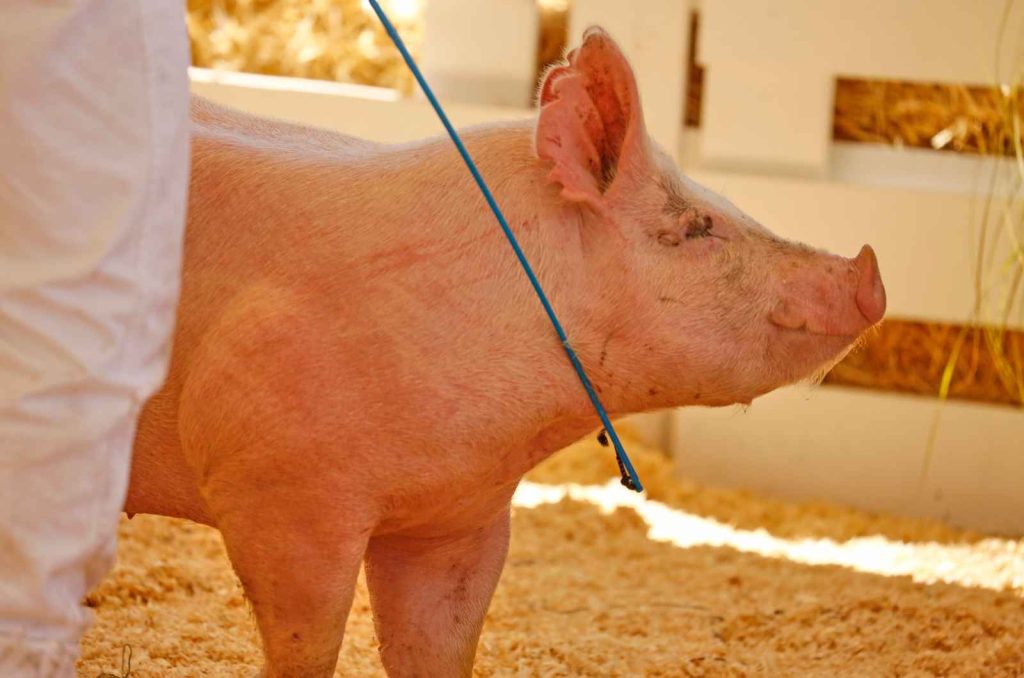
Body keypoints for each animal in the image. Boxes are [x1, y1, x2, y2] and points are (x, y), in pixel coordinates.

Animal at [125, 27, 885, 678]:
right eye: (698, 227)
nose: (868, 268)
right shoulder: (279, 492)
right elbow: (305, 648)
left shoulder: (459, 519)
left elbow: (439, 649)